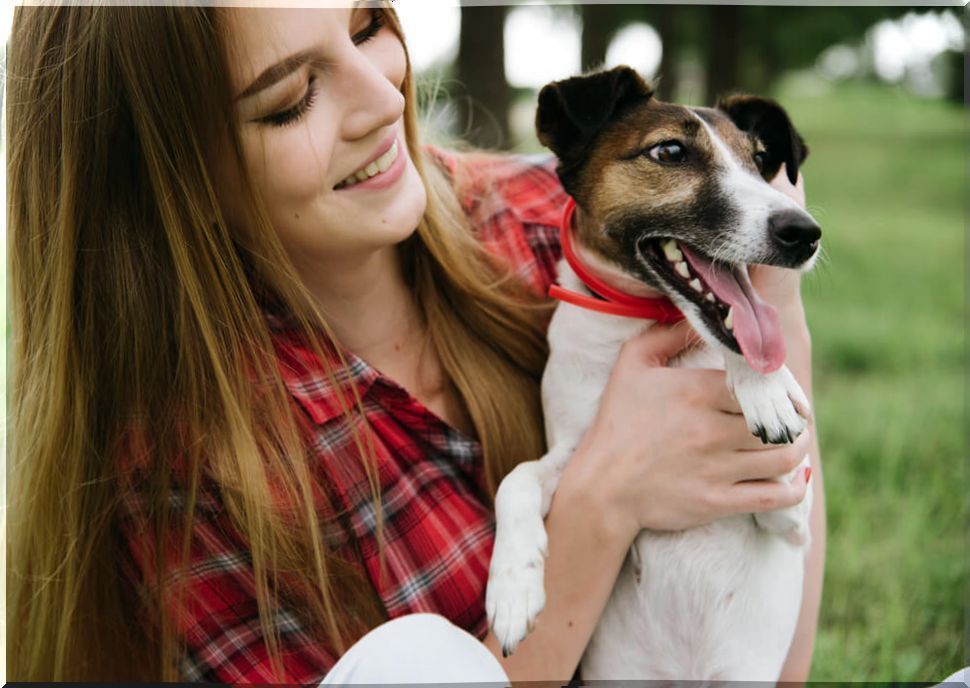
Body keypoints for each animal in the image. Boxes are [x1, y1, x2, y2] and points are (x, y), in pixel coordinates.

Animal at [484, 66, 816, 684]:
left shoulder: (790, 515)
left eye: (761, 160)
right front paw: (513, 588)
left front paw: (764, 385)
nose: (805, 232)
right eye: (669, 152)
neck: (644, 321)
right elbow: (515, 479)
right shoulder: (576, 454)